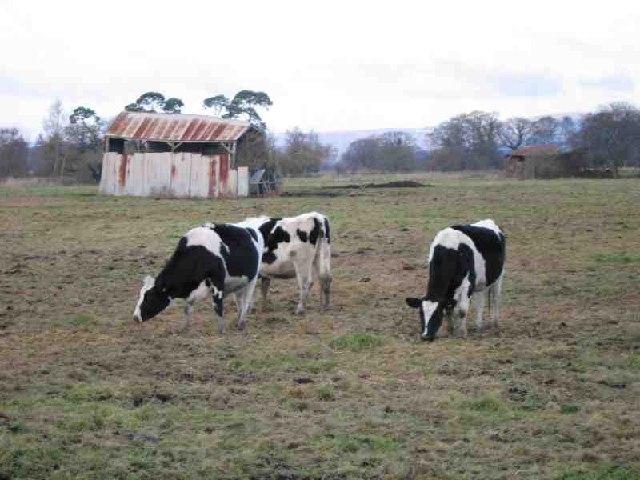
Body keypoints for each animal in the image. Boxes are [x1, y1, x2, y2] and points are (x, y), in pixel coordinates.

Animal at [134, 221, 264, 334]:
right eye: (140, 295)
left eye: (149, 297)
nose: (135, 317)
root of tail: (249, 229)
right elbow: (187, 308)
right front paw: (185, 328)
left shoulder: (217, 281)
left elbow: (217, 306)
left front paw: (220, 330)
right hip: (238, 284)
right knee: (239, 301)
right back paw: (237, 320)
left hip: (252, 279)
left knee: (246, 301)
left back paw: (241, 323)